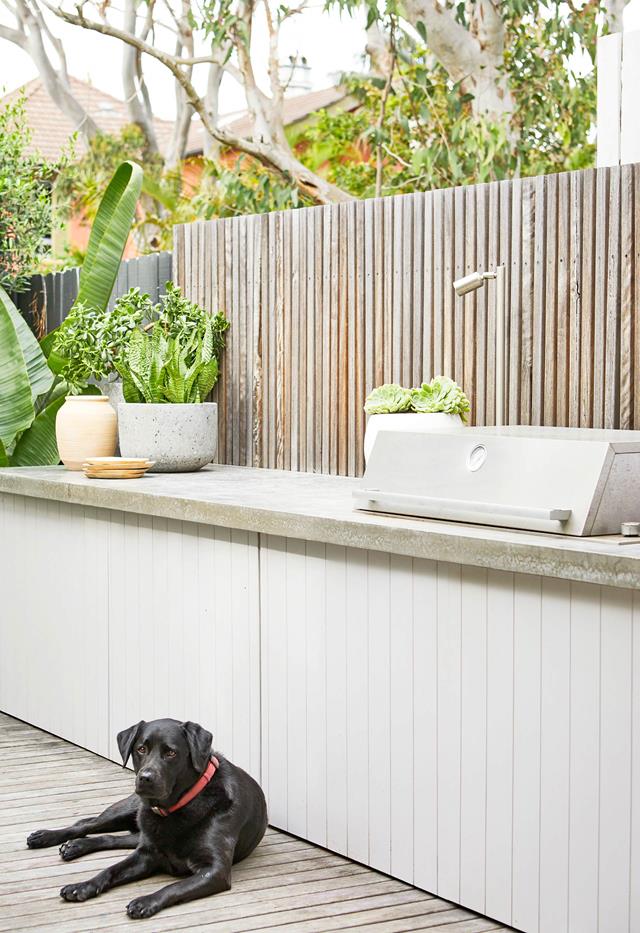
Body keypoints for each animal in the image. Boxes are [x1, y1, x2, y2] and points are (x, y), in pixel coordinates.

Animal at [26, 716, 268, 920]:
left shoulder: (214, 870)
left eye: (171, 753)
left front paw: (146, 901)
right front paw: (83, 885)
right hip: (129, 810)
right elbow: (111, 869)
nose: (146, 778)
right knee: (87, 823)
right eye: (141, 749)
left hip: (143, 830)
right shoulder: (145, 855)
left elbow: (174, 887)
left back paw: (76, 846)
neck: (178, 807)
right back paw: (47, 837)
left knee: (115, 838)